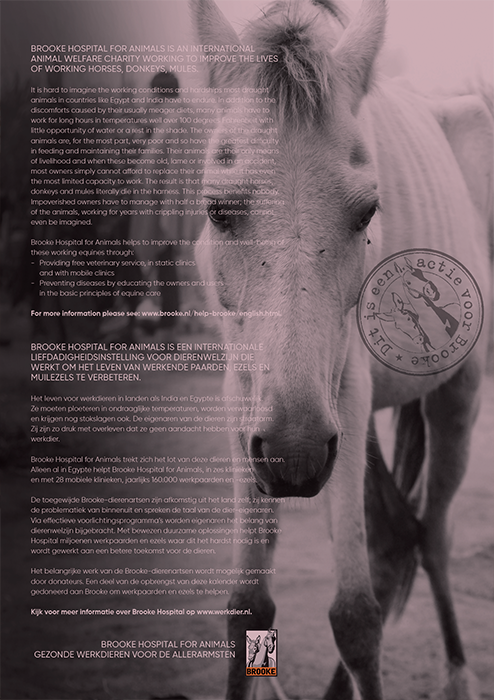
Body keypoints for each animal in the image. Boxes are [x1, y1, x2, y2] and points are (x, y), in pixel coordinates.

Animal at [188, 0, 493, 698]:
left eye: (367, 213)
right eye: (217, 210)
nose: (293, 455)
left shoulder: (347, 394)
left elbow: (355, 615)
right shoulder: (243, 394)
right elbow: (247, 604)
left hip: (455, 397)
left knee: (431, 534)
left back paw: (458, 672)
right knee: (393, 538)